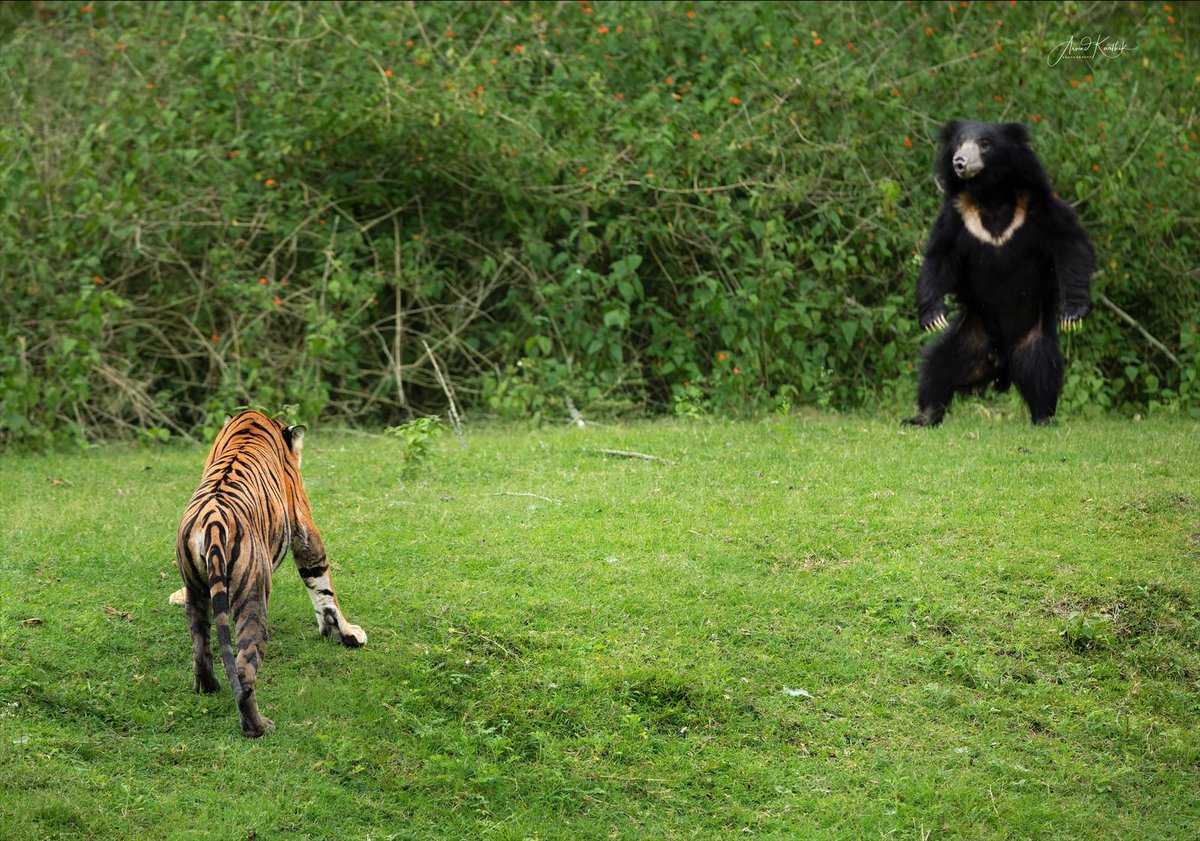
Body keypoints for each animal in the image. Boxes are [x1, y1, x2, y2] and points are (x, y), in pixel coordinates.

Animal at [174, 410, 367, 737]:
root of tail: (212, 524)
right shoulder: (302, 520)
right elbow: (322, 583)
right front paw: (346, 632)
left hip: (195, 590)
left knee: (200, 646)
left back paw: (208, 687)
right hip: (251, 596)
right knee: (244, 668)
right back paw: (258, 727)